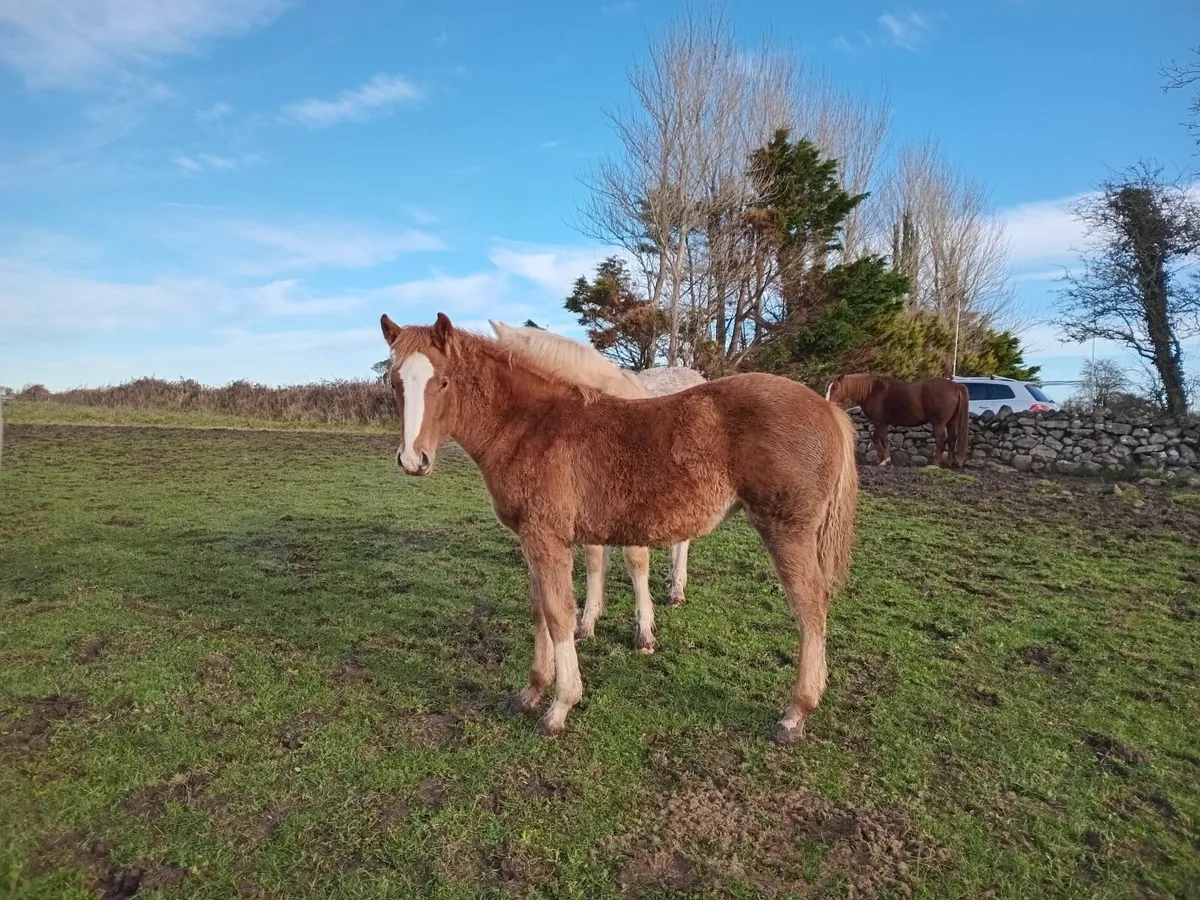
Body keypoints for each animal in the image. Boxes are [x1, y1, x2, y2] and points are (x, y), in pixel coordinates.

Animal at [825, 374, 970, 469]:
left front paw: (886, 460)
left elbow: (883, 440)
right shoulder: (881, 424)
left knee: (942, 441)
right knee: (952, 439)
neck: (871, 392)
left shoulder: (880, 423)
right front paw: (881, 457)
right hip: (951, 422)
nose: (827, 403)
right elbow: (875, 439)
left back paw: (934, 464)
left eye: (835, 387)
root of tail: (956, 386)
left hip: (939, 423)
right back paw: (949, 462)